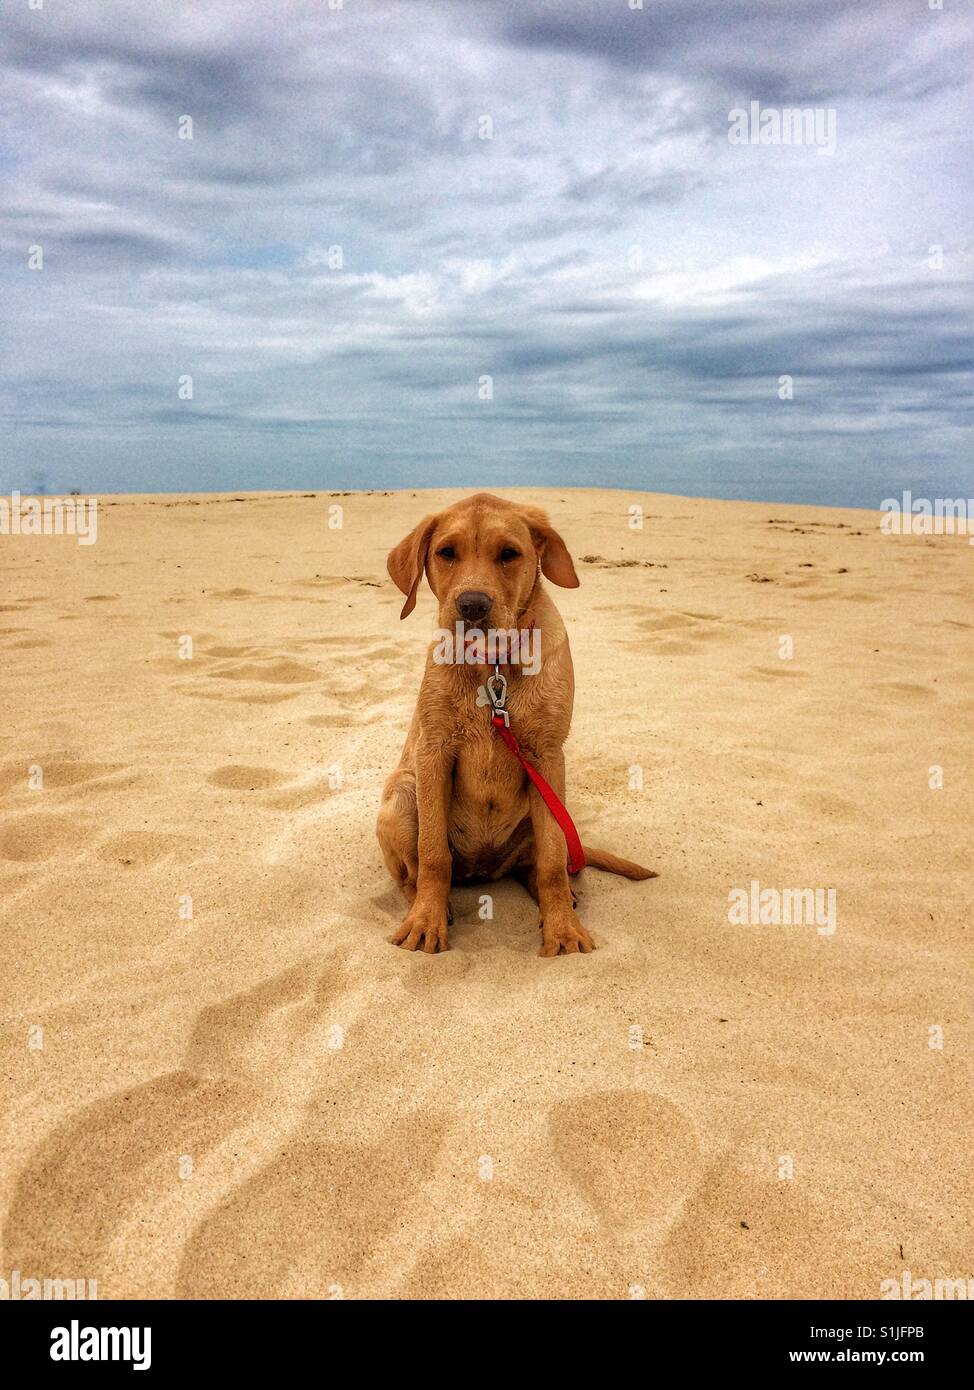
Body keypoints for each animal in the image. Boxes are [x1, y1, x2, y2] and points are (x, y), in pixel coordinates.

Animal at [375, 497, 658, 956]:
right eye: (446, 552)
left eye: (509, 554)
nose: (472, 606)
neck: (493, 666)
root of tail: (483, 870)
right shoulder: (434, 751)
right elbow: (433, 854)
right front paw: (426, 920)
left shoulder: (546, 757)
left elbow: (553, 860)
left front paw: (563, 929)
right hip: (401, 796)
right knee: (412, 875)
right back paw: (428, 905)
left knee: (541, 861)